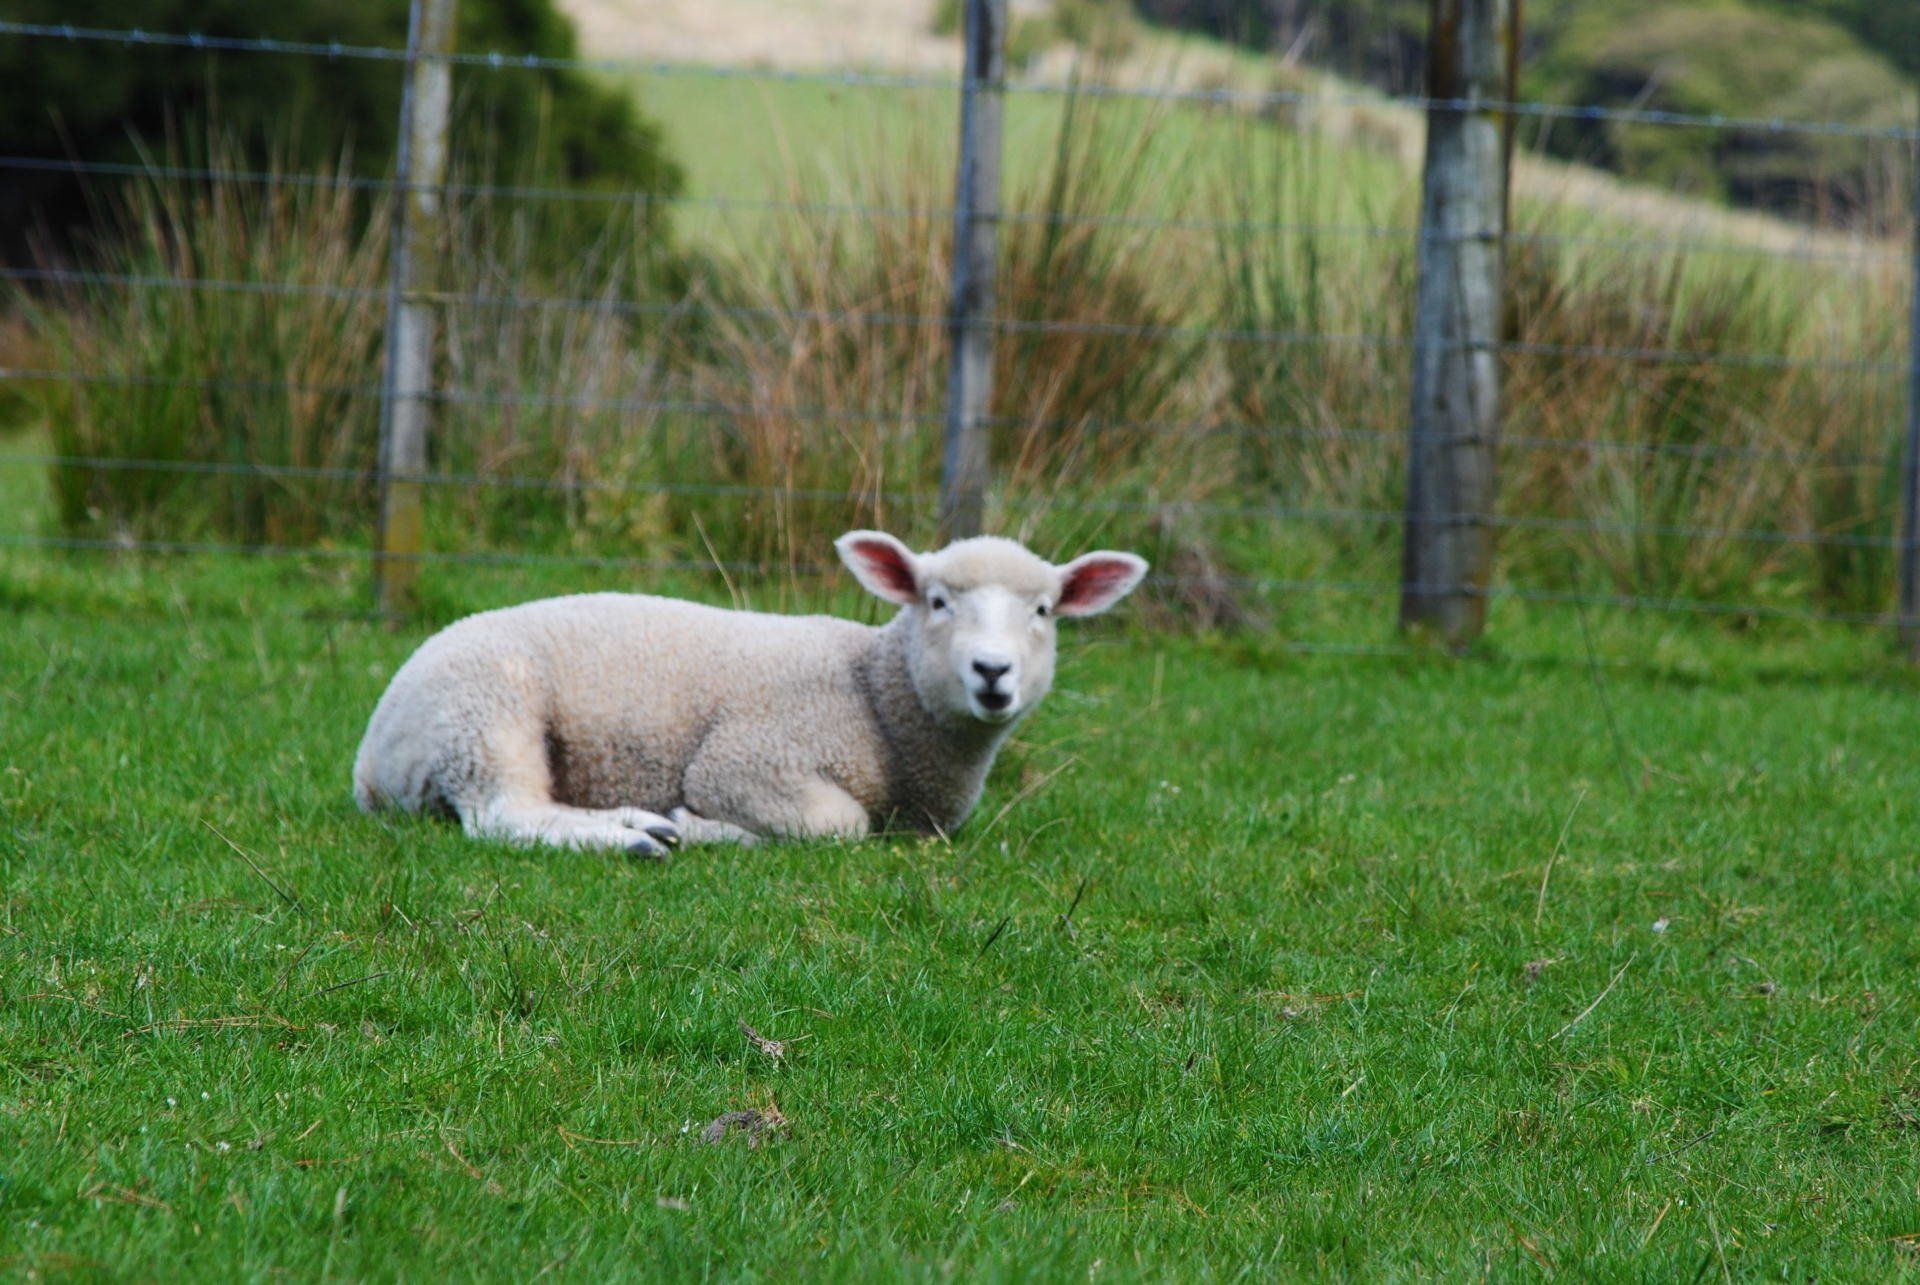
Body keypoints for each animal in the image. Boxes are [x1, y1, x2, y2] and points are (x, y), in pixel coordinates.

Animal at [352, 530, 1148, 855]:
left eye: (1043, 610)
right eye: (937, 601)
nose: (991, 671)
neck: (873, 692)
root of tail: (371, 760)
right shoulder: (750, 759)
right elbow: (838, 824)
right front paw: (703, 824)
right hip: (484, 717)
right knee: (504, 815)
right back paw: (638, 837)